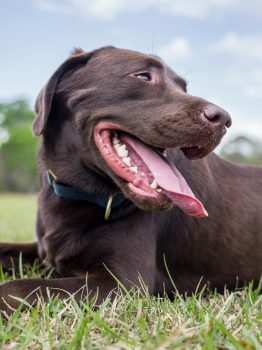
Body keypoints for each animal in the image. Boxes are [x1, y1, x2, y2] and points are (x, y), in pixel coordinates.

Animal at [0, 47, 262, 312]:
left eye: (184, 88)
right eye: (143, 76)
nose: (224, 119)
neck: (79, 192)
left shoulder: (123, 283)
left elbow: (17, 288)